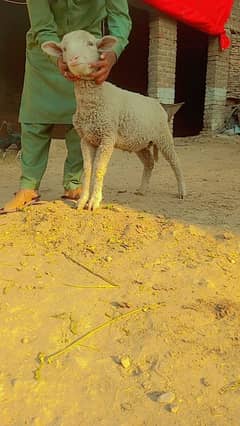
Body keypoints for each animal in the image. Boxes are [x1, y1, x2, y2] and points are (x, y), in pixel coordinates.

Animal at [42, 29, 187, 210]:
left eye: (91, 43)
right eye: (64, 49)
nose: (74, 59)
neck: (94, 102)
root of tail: (158, 104)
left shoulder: (108, 136)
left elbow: (99, 168)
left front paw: (94, 201)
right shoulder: (86, 139)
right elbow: (87, 169)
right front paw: (82, 201)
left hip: (163, 135)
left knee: (176, 162)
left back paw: (182, 191)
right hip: (140, 142)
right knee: (149, 163)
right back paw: (142, 189)